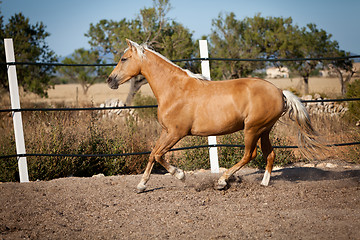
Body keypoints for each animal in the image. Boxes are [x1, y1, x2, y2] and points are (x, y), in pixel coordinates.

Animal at [106, 39, 320, 193]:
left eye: (124, 59)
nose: (110, 80)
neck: (174, 89)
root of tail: (280, 92)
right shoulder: (166, 131)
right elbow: (152, 154)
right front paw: (141, 185)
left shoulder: (176, 133)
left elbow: (159, 155)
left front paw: (181, 175)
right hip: (264, 130)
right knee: (270, 154)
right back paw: (264, 183)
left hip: (252, 129)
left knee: (249, 155)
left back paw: (222, 181)